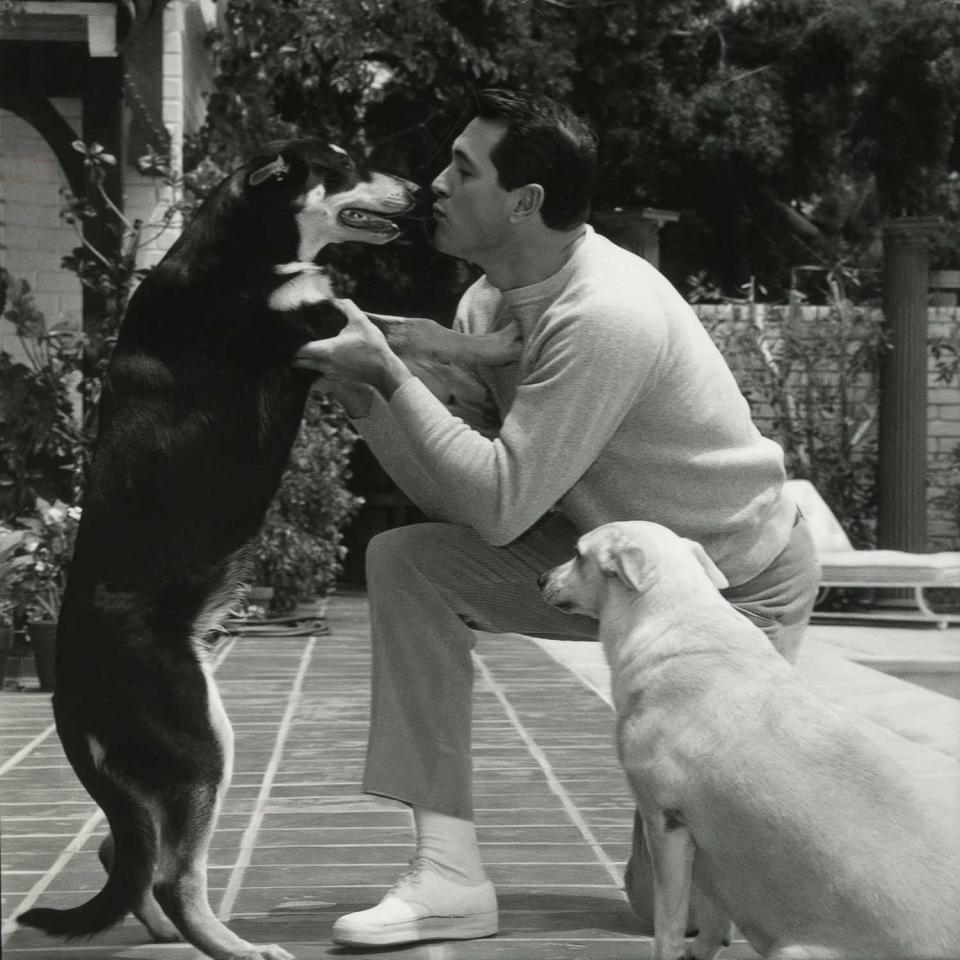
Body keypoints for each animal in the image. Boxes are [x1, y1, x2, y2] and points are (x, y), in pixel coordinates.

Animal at [15, 141, 520, 960]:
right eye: (339, 168)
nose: (418, 190)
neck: (245, 251)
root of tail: (67, 689)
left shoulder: (341, 327)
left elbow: (411, 322)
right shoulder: (322, 331)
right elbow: (424, 328)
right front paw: (505, 338)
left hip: (169, 761)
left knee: (127, 853)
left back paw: (164, 931)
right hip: (201, 746)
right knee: (169, 875)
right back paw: (233, 947)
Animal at [540, 520, 960, 960]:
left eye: (578, 553)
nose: (540, 579)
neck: (678, 616)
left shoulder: (666, 823)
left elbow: (669, 925)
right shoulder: (711, 850)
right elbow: (714, 915)